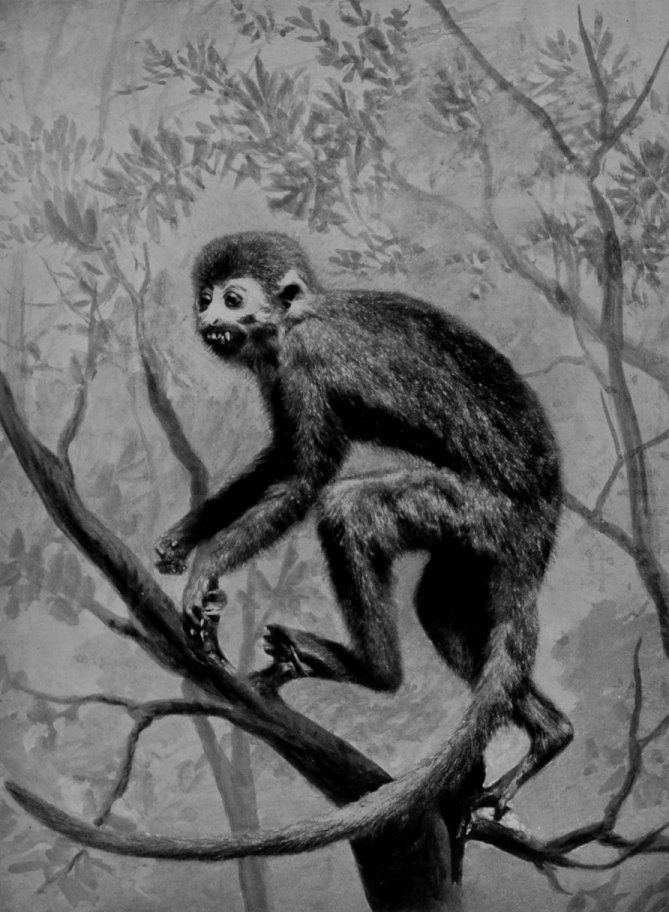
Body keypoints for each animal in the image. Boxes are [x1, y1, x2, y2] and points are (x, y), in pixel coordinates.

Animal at [7, 231, 574, 866]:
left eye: (232, 299)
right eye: (205, 298)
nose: (207, 319)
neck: (295, 320)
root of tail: (545, 508)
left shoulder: (303, 362)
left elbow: (305, 477)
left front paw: (207, 565)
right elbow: (279, 460)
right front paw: (186, 536)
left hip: (481, 510)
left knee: (350, 510)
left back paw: (374, 671)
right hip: (481, 540)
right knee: (441, 611)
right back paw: (550, 734)